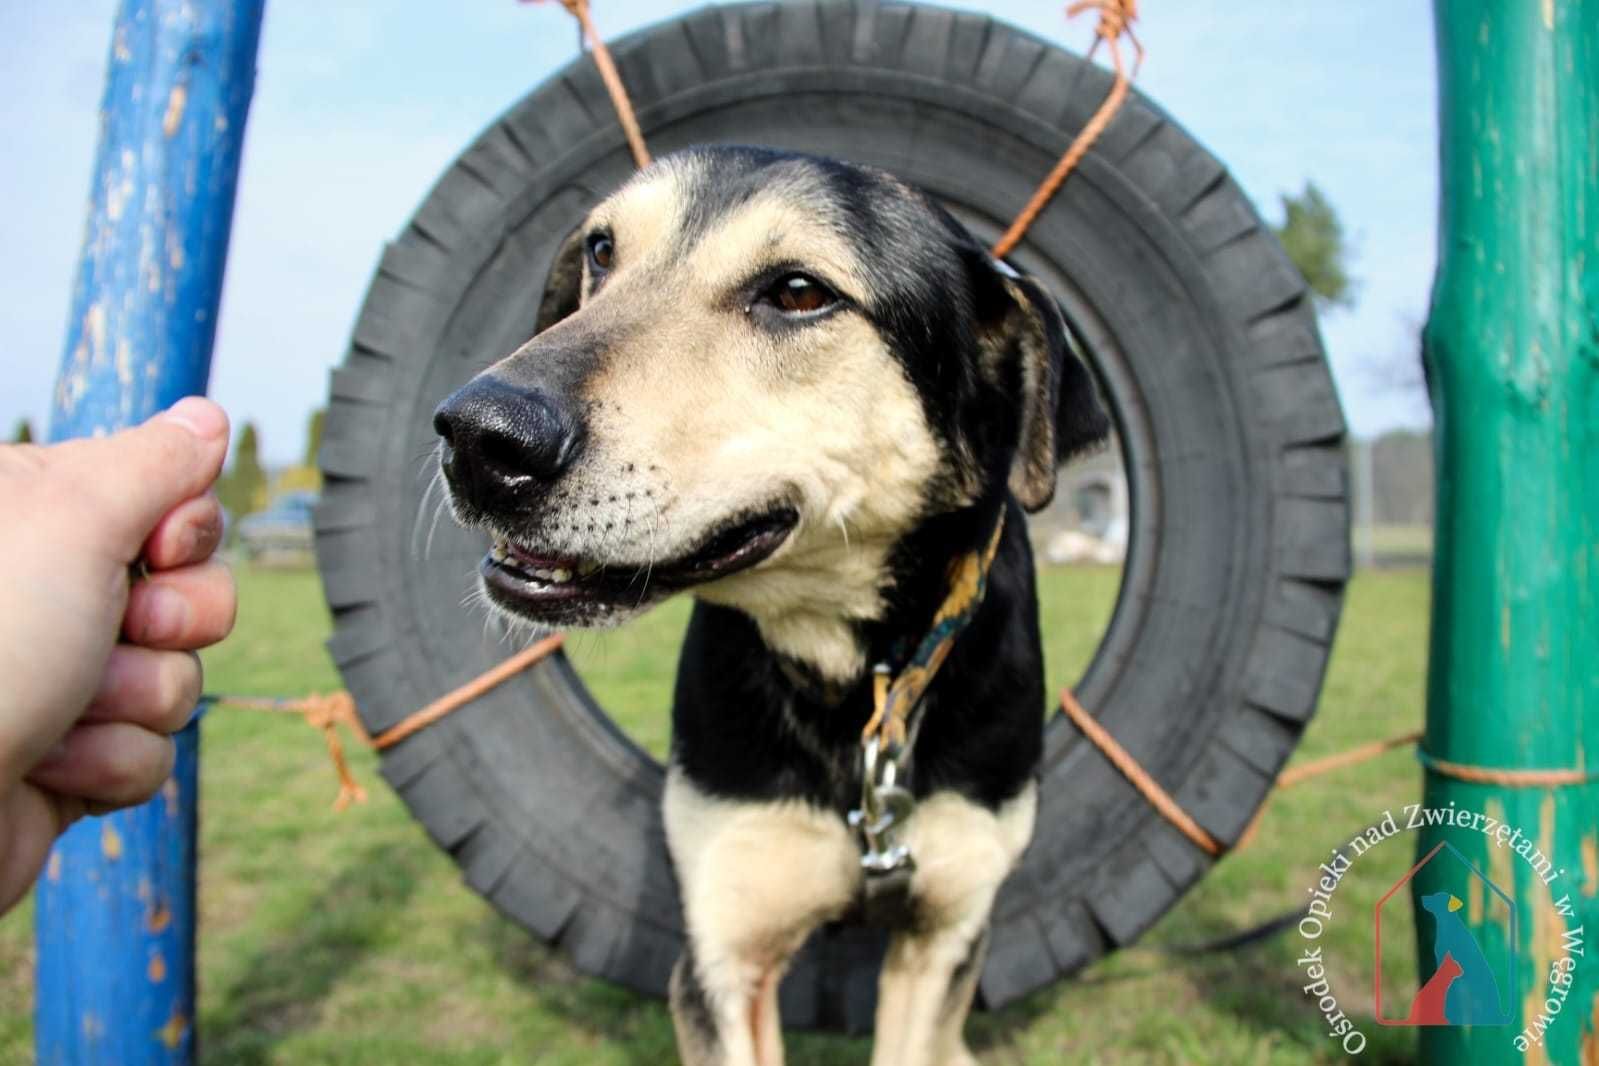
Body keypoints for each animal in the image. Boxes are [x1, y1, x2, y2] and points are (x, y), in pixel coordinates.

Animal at [438, 143, 1112, 1066]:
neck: (845, 679)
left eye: (797, 293)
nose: (477, 437)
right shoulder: (723, 955)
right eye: (602, 252)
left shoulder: (941, 939)